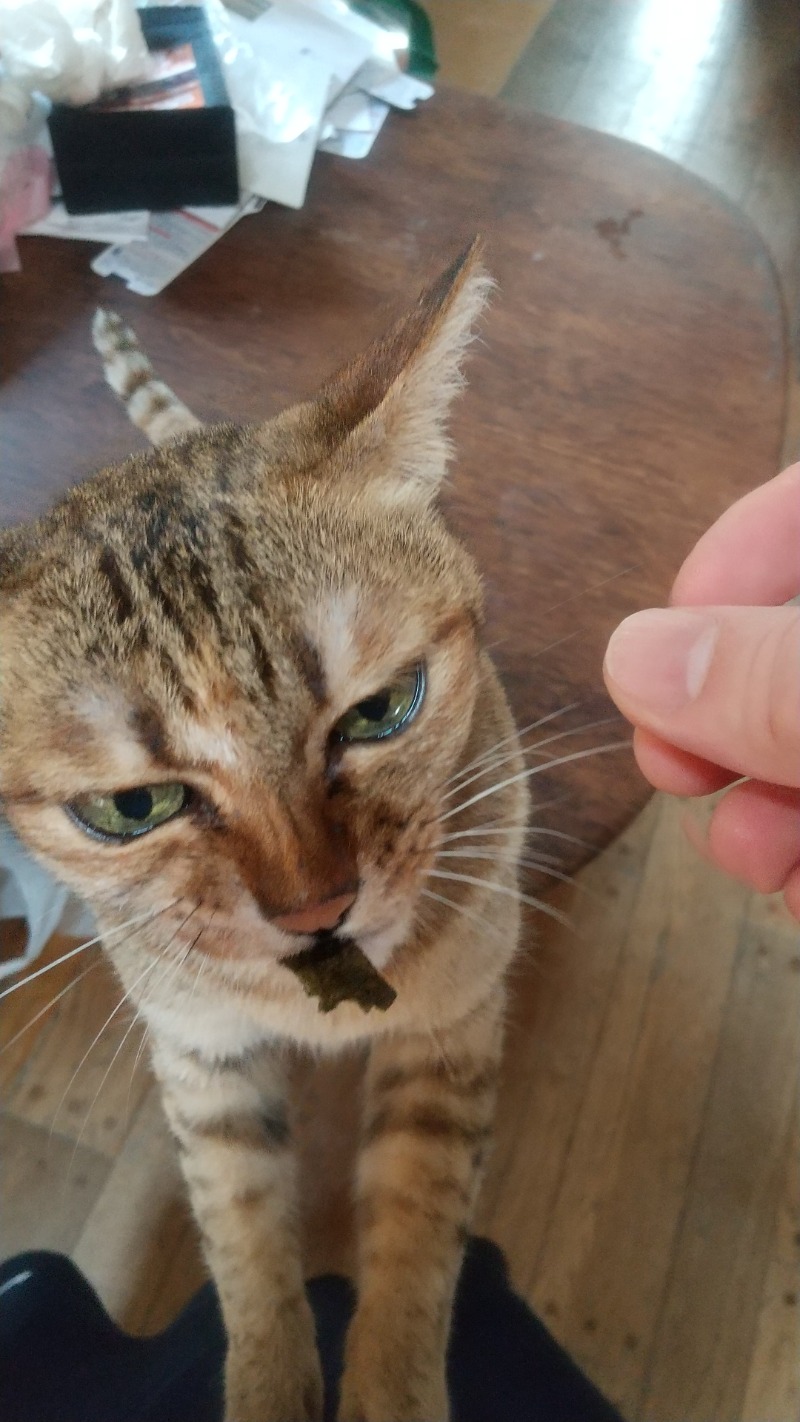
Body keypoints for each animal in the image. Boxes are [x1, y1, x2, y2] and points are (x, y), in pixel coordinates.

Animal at [0, 247, 528, 1422]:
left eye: (382, 710)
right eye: (130, 810)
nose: (317, 908)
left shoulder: (453, 1031)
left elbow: (416, 1237)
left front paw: (390, 1388)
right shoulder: (199, 1056)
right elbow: (240, 1238)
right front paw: (273, 1382)